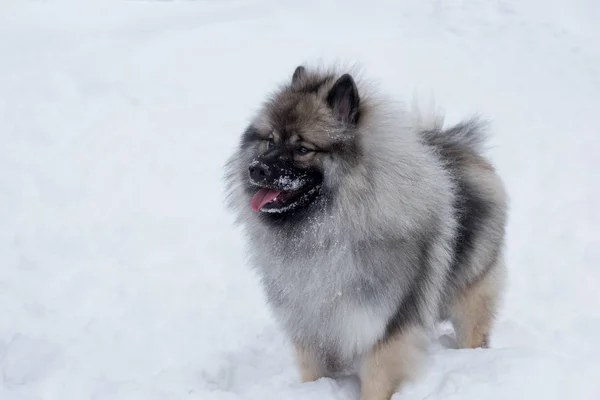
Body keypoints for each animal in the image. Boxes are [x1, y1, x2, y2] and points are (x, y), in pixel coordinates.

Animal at [223, 65, 508, 400]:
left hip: (470, 296)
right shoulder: (310, 328)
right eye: (270, 141)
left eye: (303, 148)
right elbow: (313, 374)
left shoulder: (384, 328)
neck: (326, 234)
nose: (256, 169)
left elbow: (376, 381)